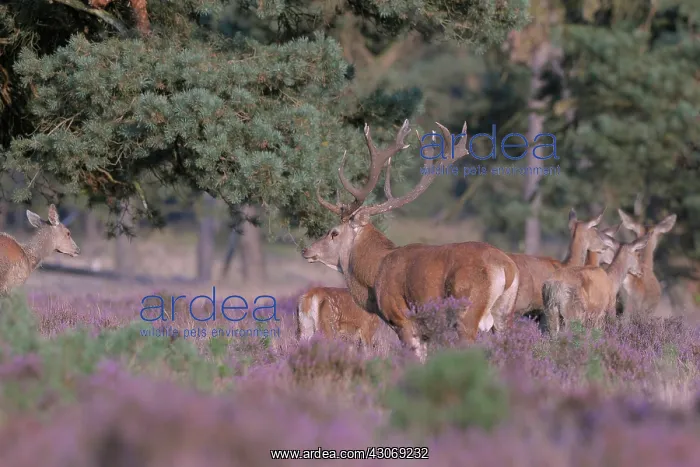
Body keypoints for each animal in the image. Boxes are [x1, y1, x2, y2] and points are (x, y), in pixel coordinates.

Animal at [300, 119, 520, 362]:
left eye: (334, 233)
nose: (307, 250)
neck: (373, 275)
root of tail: (506, 267)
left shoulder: (402, 318)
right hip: (504, 314)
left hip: (467, 310)